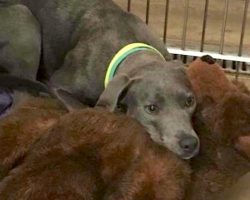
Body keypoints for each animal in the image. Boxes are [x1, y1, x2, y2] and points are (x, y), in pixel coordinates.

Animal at [0, 0, 199, 159]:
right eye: (151, 108)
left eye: (190, 101)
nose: (189, 143)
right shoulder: (57, 85)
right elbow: (86, 109)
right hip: (24, 20)